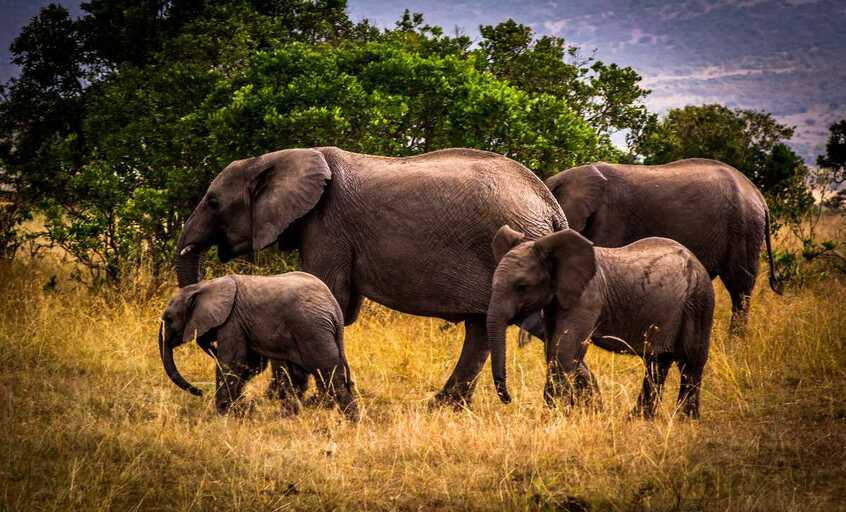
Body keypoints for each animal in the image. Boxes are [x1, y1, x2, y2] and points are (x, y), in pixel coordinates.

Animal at [159, 272, 358, 420]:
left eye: (168, 319)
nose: (200, 392)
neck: (204, 286)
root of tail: (334, 307)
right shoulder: (241, 323)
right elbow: (251, 365)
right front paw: (240, 409)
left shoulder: (232, 321)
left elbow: (233, 362)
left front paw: (223, 414)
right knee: (303, 376)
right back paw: (288, 416)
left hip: (311, 329)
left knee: (329, 375)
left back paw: (351, 421)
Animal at [172, 146, 568, 406]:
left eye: (213, 202)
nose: (209, 346)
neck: (275, 158)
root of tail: (550, 206)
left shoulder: (327, 226)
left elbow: (325, 292)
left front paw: (285, 399)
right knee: (483, 327)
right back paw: (443, 405)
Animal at [490, 226, 716, 418]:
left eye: (522, 286)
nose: (509, 399)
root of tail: (698, 263)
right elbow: (553, 347)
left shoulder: (588, 296)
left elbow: (564, 350)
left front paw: (549, 419)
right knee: (658, 360)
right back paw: (638, 419)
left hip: (699, 302)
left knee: (691, 361)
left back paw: (685, 420)